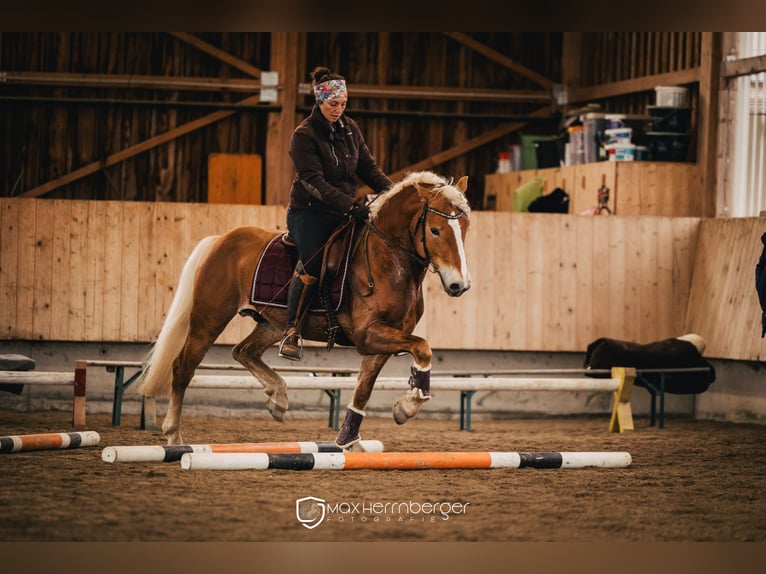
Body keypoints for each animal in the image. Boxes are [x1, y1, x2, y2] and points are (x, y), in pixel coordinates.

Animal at [138, 171, 474, 450]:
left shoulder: (385, 338)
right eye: (435, 230)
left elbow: (365, 388)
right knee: (183, 367)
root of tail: (219, 240)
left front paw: (352, 438)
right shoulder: (368, 335)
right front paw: (411, 402)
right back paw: (175, 436)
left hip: (272, 324)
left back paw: (278, 398)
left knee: (243, 351)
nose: (459, 285)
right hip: (209, 319)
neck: (387, 258)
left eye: (465, 227)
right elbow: (423, 347)